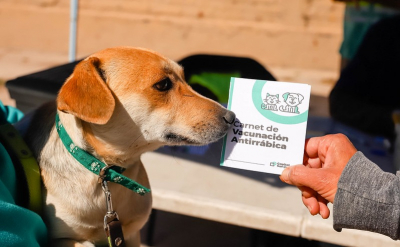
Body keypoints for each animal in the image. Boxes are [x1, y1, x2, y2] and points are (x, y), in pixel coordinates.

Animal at [21, 46, 234, 247]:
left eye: (184, 77)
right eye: (163, 84)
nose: (232, 117)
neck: (107, 173)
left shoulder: (130, 234)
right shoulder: (59, 237)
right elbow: (84, 243)